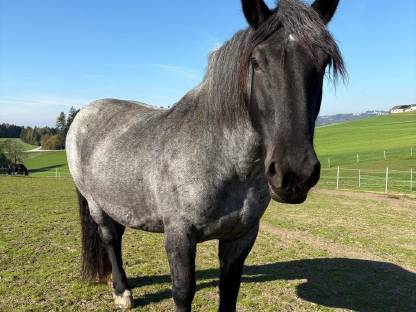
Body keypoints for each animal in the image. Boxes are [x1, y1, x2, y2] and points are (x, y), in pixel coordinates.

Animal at [65, 0, 344, 310]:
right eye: (256, 62)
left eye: (323, 62)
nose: (294, 173)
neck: (222, 160)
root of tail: (84, 113)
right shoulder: (179, 237)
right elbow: (183, 291)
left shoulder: (241, 237)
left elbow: (230, 290)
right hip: (96, 205)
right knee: (110, 238)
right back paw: (122, 292)